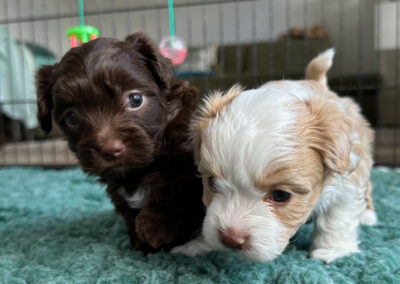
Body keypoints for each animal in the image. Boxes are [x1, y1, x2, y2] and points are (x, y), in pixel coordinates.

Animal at [36, 32, 205, 252]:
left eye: (135, 99)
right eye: (72, 118)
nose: (110, 149)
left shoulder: (184, 154)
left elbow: (170, 183)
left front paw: (153, 228)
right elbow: (126, 210)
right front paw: (139, 242)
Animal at [173, 49, 378, 264]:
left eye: (281, 195)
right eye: (211, 182)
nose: (230, 239)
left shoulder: (346, 181)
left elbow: (337, 217)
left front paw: (331, 250)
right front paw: (198, 246)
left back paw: (367, 215)